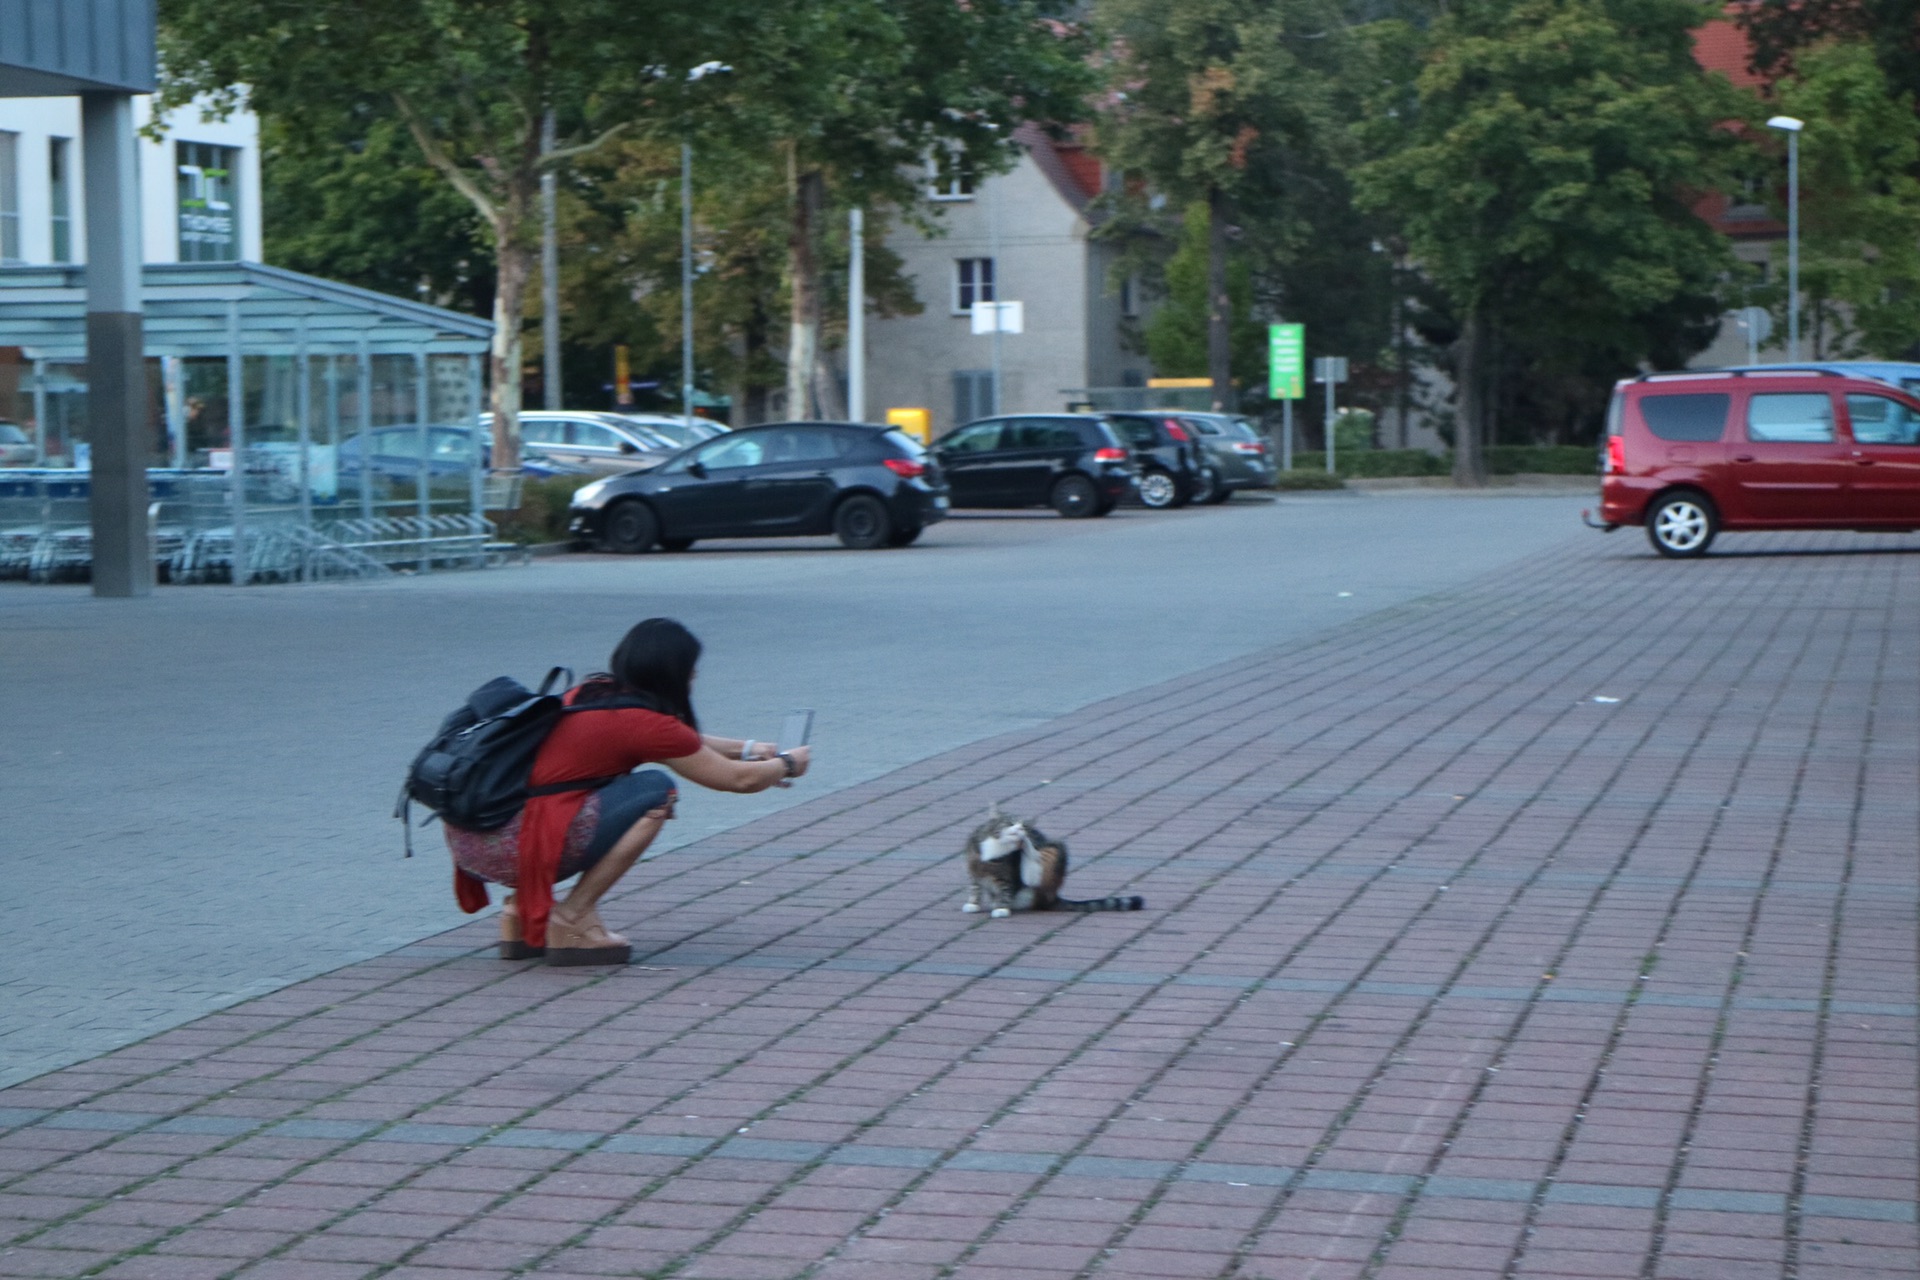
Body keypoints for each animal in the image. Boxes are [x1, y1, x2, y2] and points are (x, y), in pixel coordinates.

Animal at [960, 805, 1136, 917]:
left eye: (1024, 826)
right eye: (1010, 822)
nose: (1021, 830)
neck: (997, 846)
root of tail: (1053, 896)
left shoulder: (1007, 875)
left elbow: (1005, 890)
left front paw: (1002, 908)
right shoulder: (974, 870)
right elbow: (975, 888)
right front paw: (973, 903)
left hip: (1054, 850)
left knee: (1033, 874)